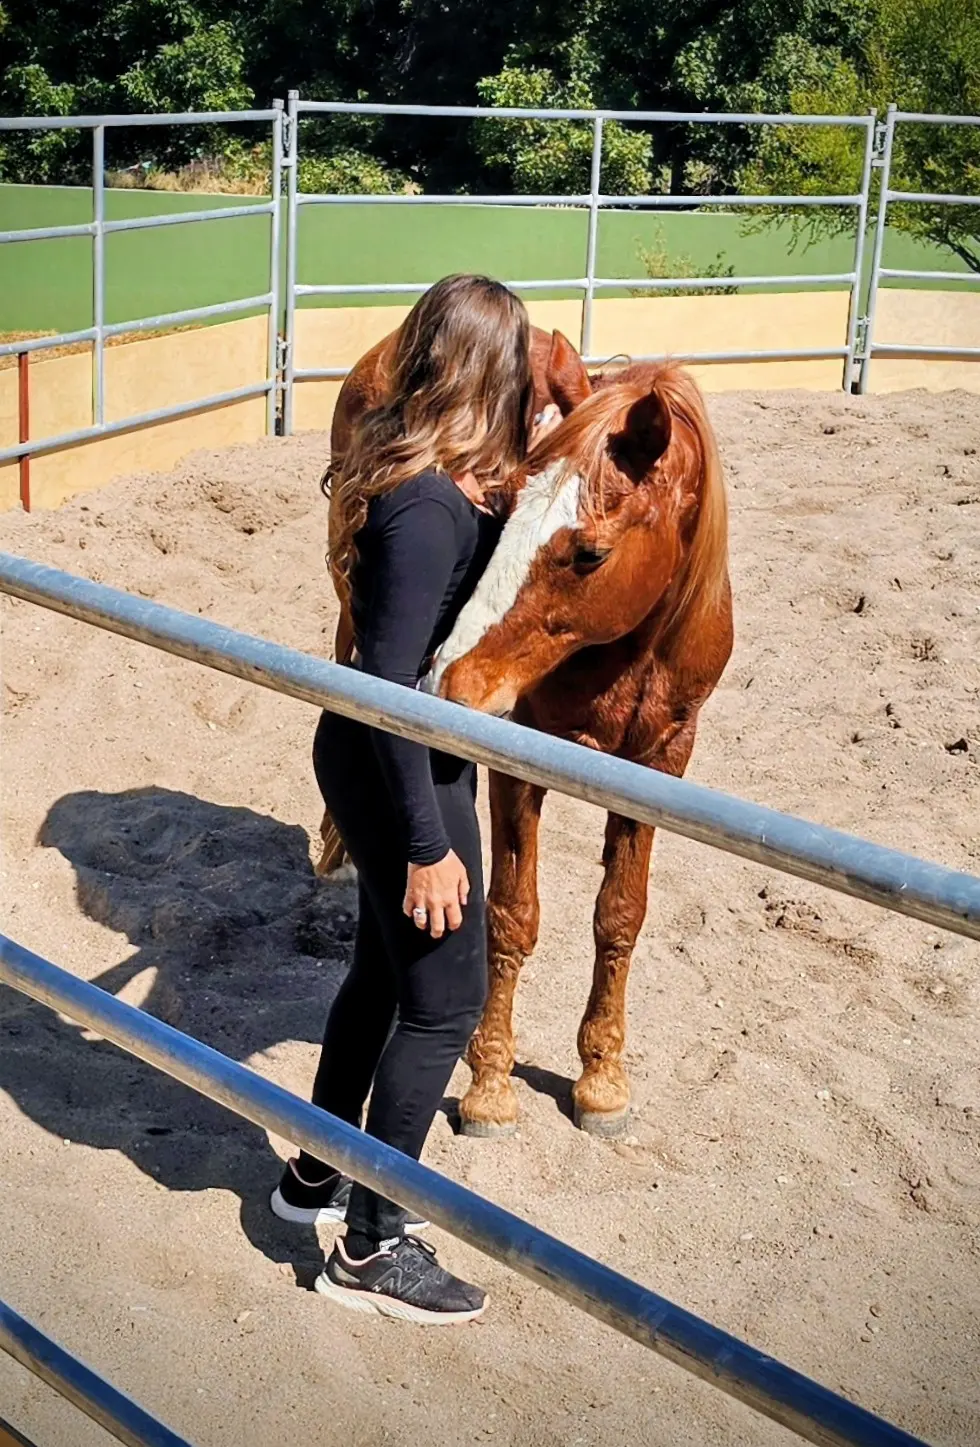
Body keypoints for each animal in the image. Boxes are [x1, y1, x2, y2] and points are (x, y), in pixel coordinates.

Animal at [423, 356, 733, 1138]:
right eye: (500, 509)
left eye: (590, 553)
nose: (452, 681)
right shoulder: (515, 758)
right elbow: (512, 912)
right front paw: (490, 1084)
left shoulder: (660, 763)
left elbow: (619, 914)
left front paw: (602, 1078)